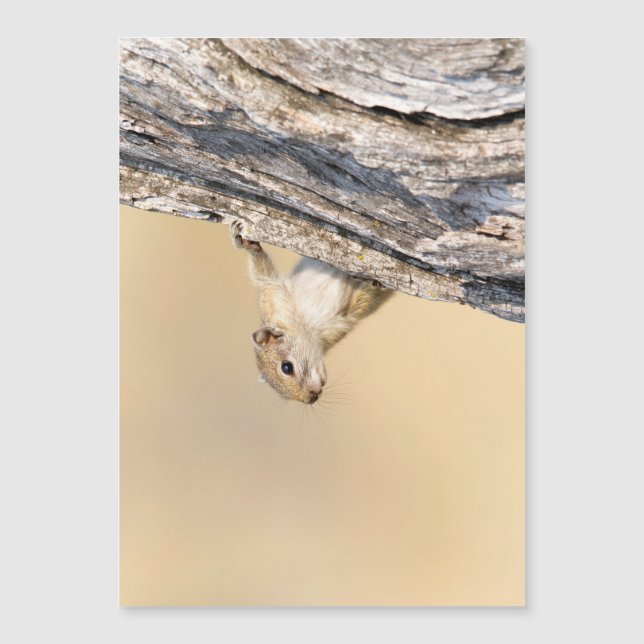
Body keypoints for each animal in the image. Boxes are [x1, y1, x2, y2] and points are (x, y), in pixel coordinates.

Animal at [231, 220, 393, 404]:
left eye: (287, 367)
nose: (311, 398)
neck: (306, 326)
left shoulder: (273, 293)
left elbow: (262, 272)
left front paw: (245, 242)